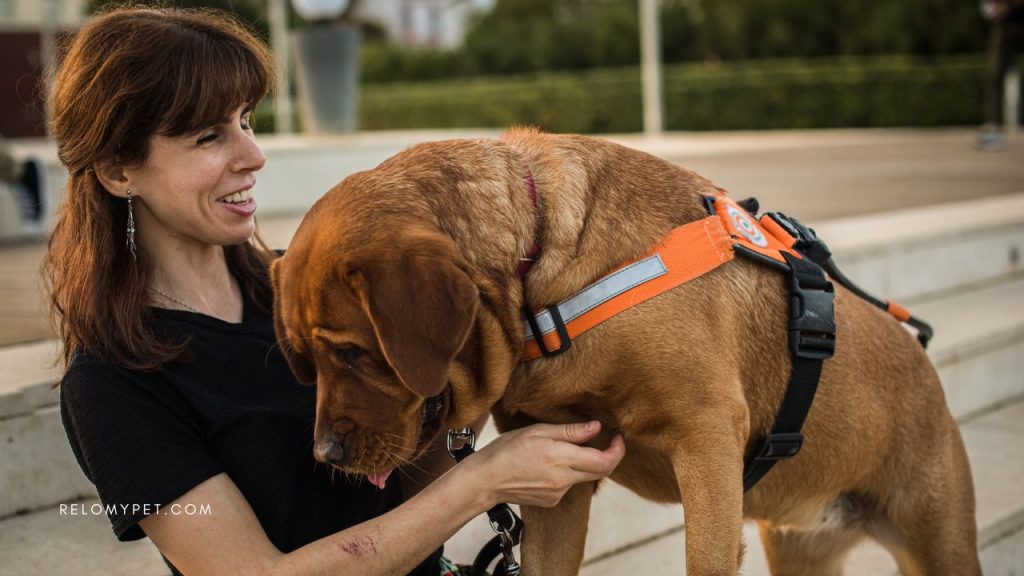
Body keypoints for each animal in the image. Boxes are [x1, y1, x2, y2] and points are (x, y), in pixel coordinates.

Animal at [272, 130, 983, 573]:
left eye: (352, 353)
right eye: (302, 360)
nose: (324, 454)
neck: (541, 281)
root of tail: (927, 369)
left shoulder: (707, 441)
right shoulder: (560, 480)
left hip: (940, 540)